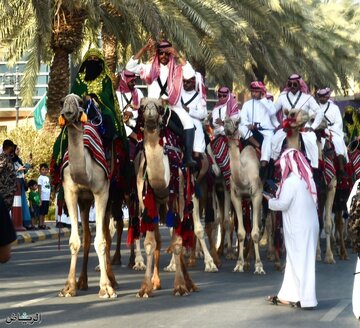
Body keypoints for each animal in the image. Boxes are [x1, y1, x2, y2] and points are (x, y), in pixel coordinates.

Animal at [58, 93, 115, 298]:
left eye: (79, 102)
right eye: (62, 101)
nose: (67, 112)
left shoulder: (101, 192)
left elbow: (102, 241)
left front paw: (106, 288)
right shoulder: (71, 192)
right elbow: (75, 241)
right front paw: (69, 287)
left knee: (107, 233)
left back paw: (112, 279)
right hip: (84, 202)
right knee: (88, 237)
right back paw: (82, 281)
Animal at [135, 98, 197, 298]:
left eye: (161, 107)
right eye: (142, 106)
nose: (150, 112)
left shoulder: (176, 199)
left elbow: (177, 243)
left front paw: (180, 287)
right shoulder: (146, 201)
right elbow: (149, 243)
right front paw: (144, 288)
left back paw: (190, 283)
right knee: (159, 241)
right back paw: (156, 282)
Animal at [224, 116, 266, 272]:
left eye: (236, 123)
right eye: (224, 121)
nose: (227, 126)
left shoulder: (257, 195)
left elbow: (255, 231)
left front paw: (259, 266)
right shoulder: (236, 196)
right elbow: (241, 232)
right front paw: (239, 264)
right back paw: (247, 260)